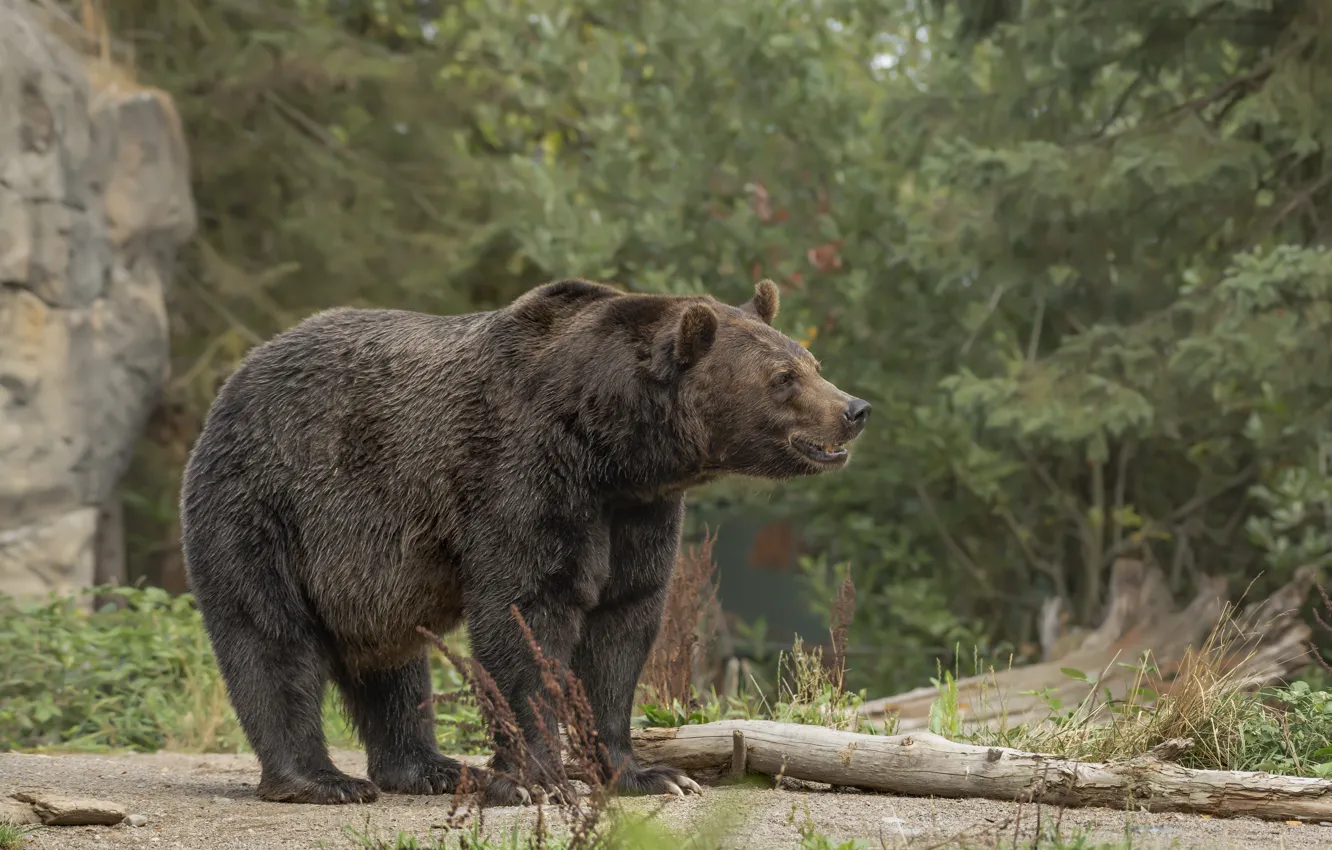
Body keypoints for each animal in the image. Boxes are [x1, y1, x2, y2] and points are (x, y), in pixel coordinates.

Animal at [178, 278, 870, 806]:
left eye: (812, 363)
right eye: (783, 377)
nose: (854, 409)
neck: (609, 445)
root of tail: (235, 378)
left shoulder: (636, 513)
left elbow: (622, 627)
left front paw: (650, 774)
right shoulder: (523, 475)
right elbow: (525, 616)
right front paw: (536, 780)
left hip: (367, 574)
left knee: (393, 664)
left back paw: (431, 768)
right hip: (268, 506)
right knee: (271, 638)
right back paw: (321, 781)